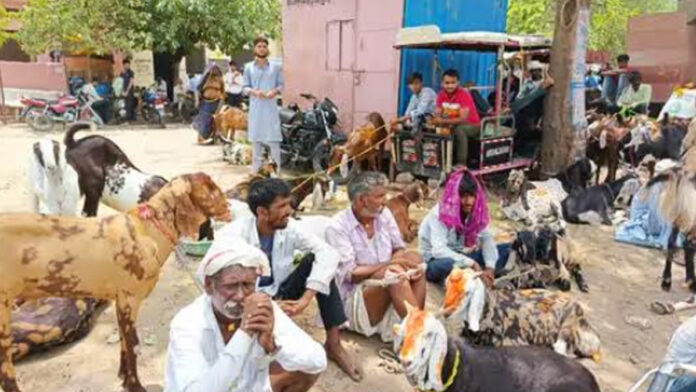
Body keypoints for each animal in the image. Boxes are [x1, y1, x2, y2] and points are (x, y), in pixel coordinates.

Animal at [0, 174, 230, 392]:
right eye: (209, 187)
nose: (228, 206)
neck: (147, 230)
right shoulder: (130, 298)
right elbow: (132, 345)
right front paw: (135, 385)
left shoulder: (120, 300)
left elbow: (123, 342)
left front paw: (123, 377)